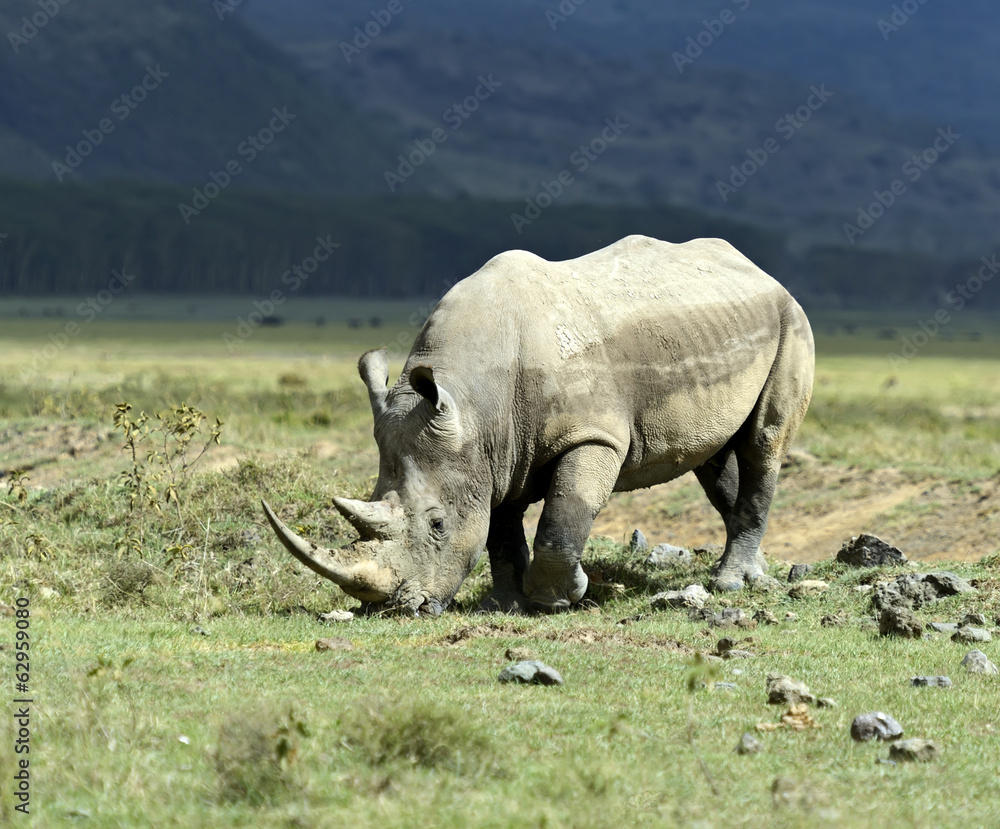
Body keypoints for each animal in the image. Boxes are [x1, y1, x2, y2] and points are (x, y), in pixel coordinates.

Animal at [262, 235, 814, 614]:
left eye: (437, 525)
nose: (399, 608)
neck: (472, 400)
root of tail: (762, 272)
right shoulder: (493, 453)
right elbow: (499, 532)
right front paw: (504, 605)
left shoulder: (591, 435)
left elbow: (562, 517)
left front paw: (560, 598)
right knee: (714, 461)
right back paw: (750, 571)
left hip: (791, 319)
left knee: (762, 442)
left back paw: (731, 582)